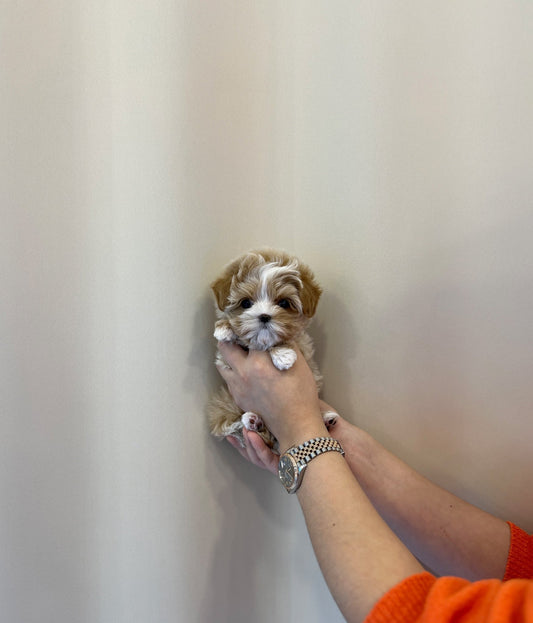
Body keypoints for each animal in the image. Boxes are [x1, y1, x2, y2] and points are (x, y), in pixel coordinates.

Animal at [206, 250, 334, 454]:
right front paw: (225, 328)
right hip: (228, 402)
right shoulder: (223, 361)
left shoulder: (305, 350)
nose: (264, 316)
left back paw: (326, 419)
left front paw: (283, 355)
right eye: (246, 303)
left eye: (284, 303)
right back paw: (252, 421)